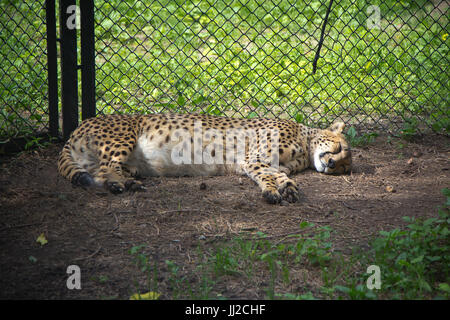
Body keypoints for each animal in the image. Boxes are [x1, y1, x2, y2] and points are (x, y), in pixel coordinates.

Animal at [57, 113, 352, 202]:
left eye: (343, 169)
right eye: (339, 148)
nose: (331, 164)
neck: (305, 145)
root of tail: (77, 128)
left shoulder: (266, 163)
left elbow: (278, 175)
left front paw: (287, 188)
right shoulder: (253, 159)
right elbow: (267, 175)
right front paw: (272, 191)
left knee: (100, 173)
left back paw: (125, 183)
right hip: (123, 139)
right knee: (104, 170)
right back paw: (121, 184)